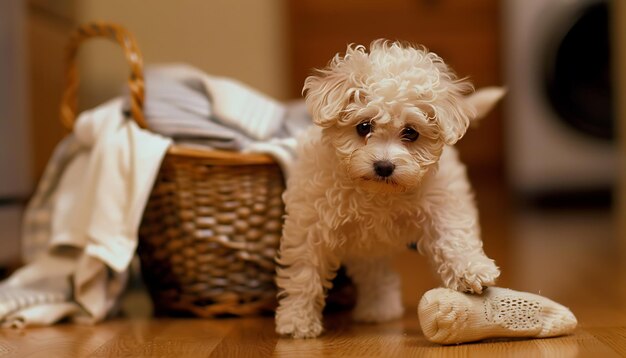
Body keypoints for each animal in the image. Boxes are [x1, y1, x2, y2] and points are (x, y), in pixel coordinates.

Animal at [272, 40, 502, 338]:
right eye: (364, 126)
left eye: (411, 132)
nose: (383, 166)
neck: (378, 195)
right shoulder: (311, 222)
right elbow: (304, 271)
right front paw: (297, 321)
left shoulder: (442, 203)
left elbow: (453, 236)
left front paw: (472, 271)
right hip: (365, 244)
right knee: (375, 271)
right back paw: (377, 309)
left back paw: (379, 309)